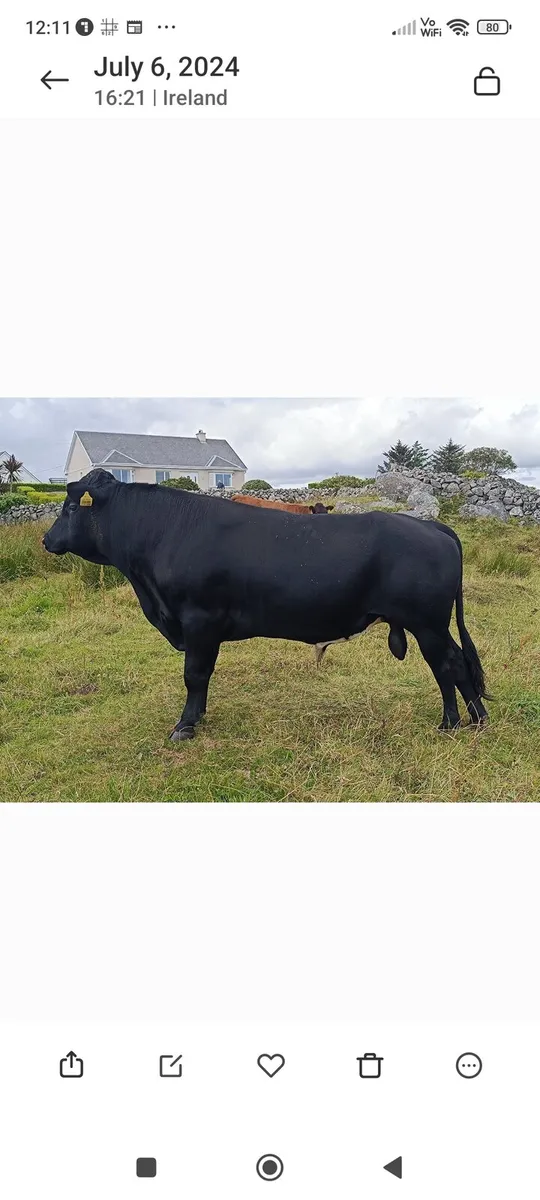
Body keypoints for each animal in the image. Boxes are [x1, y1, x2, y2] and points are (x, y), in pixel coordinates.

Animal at [43, 470, 489, 741]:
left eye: (69, 507)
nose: (46, 540)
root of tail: (429, 524)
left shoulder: (199, 620)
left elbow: (194, 675)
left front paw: (185, 725)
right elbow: (201, 677)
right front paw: (198, 717)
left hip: (428, 623)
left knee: (448, 664)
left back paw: (460, 722)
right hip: (429, 624)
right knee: (452, 664)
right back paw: (468, 721)